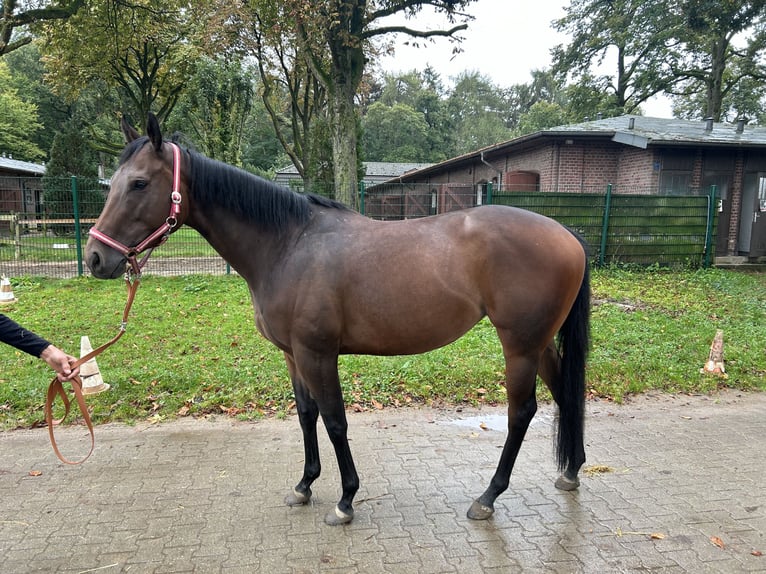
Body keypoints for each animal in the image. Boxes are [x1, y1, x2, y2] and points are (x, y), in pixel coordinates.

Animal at [88, 113, 592, 528]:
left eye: (138, 183)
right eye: (112, 183)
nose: (96, 258)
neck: (288, 245)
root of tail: (568, 235)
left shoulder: (318, 353)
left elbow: (334, 420)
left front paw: (346, 500)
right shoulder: (293, 355)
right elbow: (306, 415)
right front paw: (304, 485)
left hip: (519, 346)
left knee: (521, 413)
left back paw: (487, 498)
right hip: (540, 343)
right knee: (565, 394)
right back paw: (570, 472)